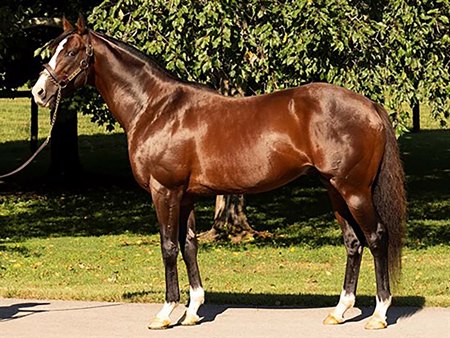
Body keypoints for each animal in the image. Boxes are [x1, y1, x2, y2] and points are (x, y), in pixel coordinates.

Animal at [30, 16, 404, 330]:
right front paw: (193, 311)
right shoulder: (185, 196)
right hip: (334, 189)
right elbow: (189, 245)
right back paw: (339, 312)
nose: (39, 92)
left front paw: (165, 313)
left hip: (354, 190)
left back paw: (379, 314)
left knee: (376, 238)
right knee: (353, 242)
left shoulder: (164, 190)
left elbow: (168, 246)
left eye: (72, 51)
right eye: (53, 50)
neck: (155, 108)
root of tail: (369, 105)